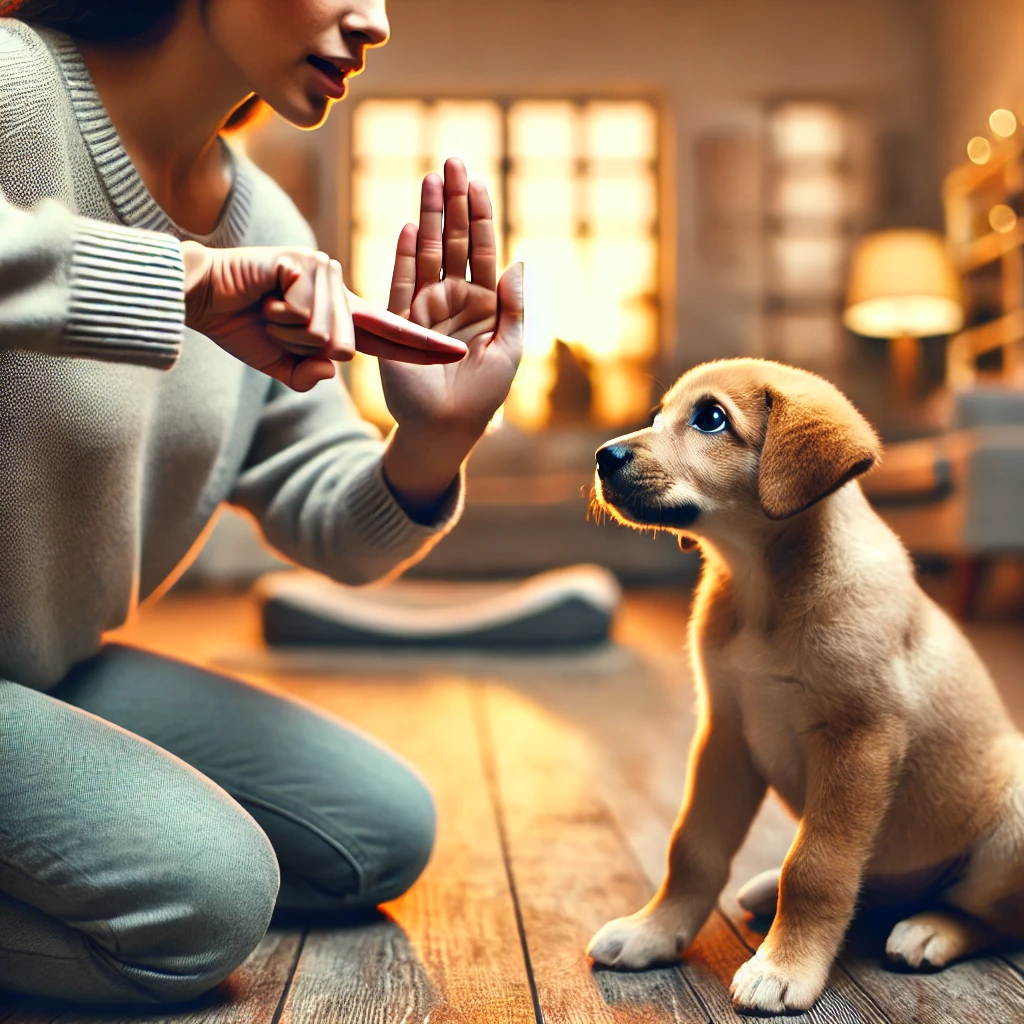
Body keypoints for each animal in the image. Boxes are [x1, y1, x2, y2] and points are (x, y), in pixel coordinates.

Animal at [585, 360, 1024, 1015]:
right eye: (658, 415)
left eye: (710, 418)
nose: (603, 456)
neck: (761, 585)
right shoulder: (726, 733)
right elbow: (692, 847)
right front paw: (654, 932)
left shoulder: (858, 741)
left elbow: (816, 867)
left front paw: (783, 967)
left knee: (993, 917)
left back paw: (931, 929)